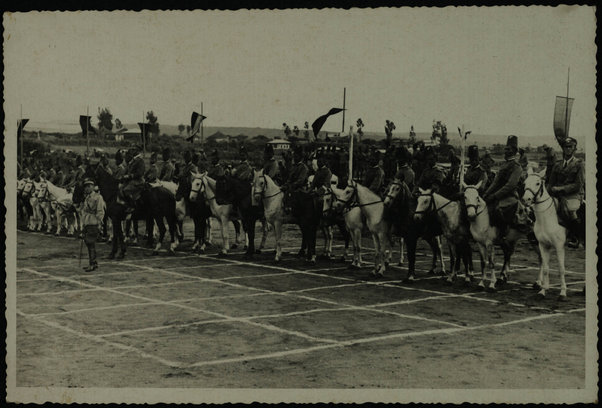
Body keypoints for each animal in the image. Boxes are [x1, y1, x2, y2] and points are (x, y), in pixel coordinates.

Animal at [520, 169, 568, 300]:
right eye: (525, 182)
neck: (547, 217)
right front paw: (543, 291)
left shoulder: (559, 246)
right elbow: (546, 268)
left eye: (537, 183)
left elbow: (561, 269)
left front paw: (563, 292)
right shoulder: (543, 245)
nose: (526, 199)